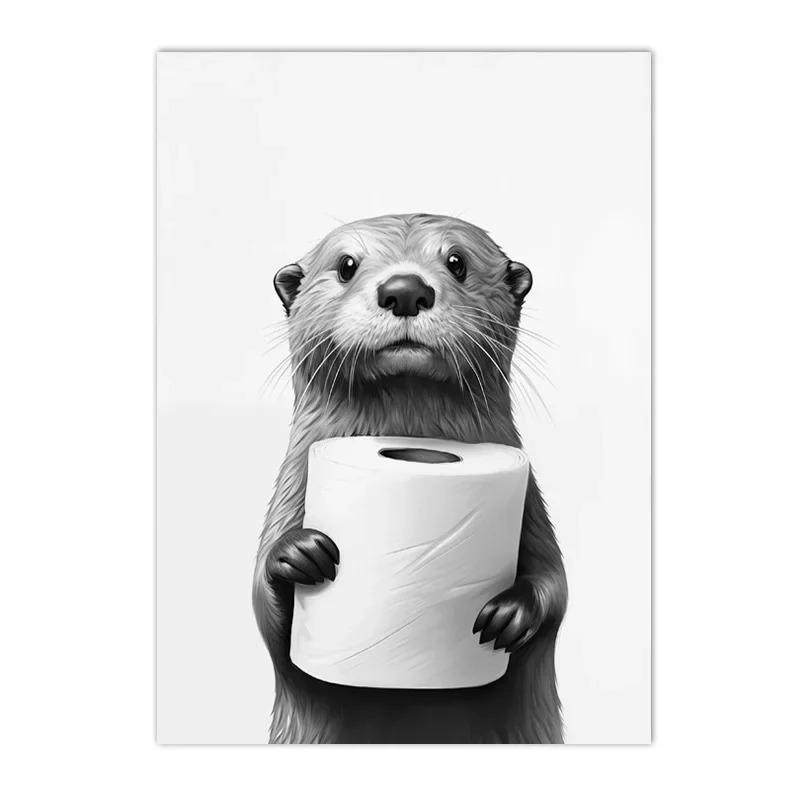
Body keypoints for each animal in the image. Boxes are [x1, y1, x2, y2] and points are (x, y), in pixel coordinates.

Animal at [253, 213, 567, 744]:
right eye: (346, 265)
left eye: (457, 261)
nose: (404, 289)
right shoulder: (290, 492)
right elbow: (266, 614)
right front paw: (297, 553)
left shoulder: (530, 507)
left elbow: (557, 588)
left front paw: (511, 613)